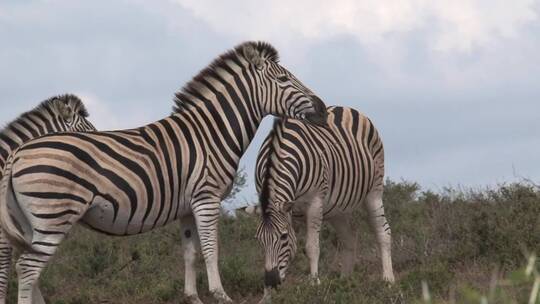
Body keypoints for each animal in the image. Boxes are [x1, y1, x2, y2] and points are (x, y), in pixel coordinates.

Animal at [255, 105, 394, 296]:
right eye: (259, 240)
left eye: (283, 237)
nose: (270, 281)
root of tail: (345, 107)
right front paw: (267, 296)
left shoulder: (315, 203)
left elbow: (311, 247)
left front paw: (314, 284)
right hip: (338, 209)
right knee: (349, 240)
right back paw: (345, 283)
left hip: (374, 191)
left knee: (383, 232)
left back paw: (388, 281)